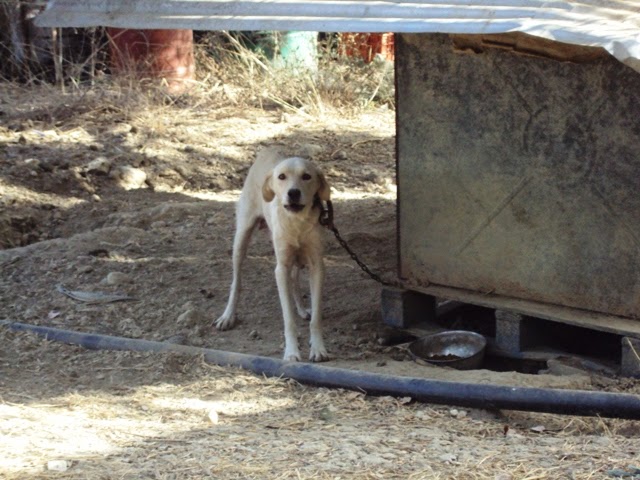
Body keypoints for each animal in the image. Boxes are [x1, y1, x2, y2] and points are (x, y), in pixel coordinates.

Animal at [216, 148, 332, 362]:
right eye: (282, 177)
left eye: (306, 176)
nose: (293, 193)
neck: (296, 222)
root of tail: (267, 150)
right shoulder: (281, 269)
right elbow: (288, 319)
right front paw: (292, 352)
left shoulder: (316, 266)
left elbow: (316, 317)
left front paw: (318, 348)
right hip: (241, 238)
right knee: (236, 281)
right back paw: (228, 316)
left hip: (297, 258)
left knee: (294, 279)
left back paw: (302, 309)